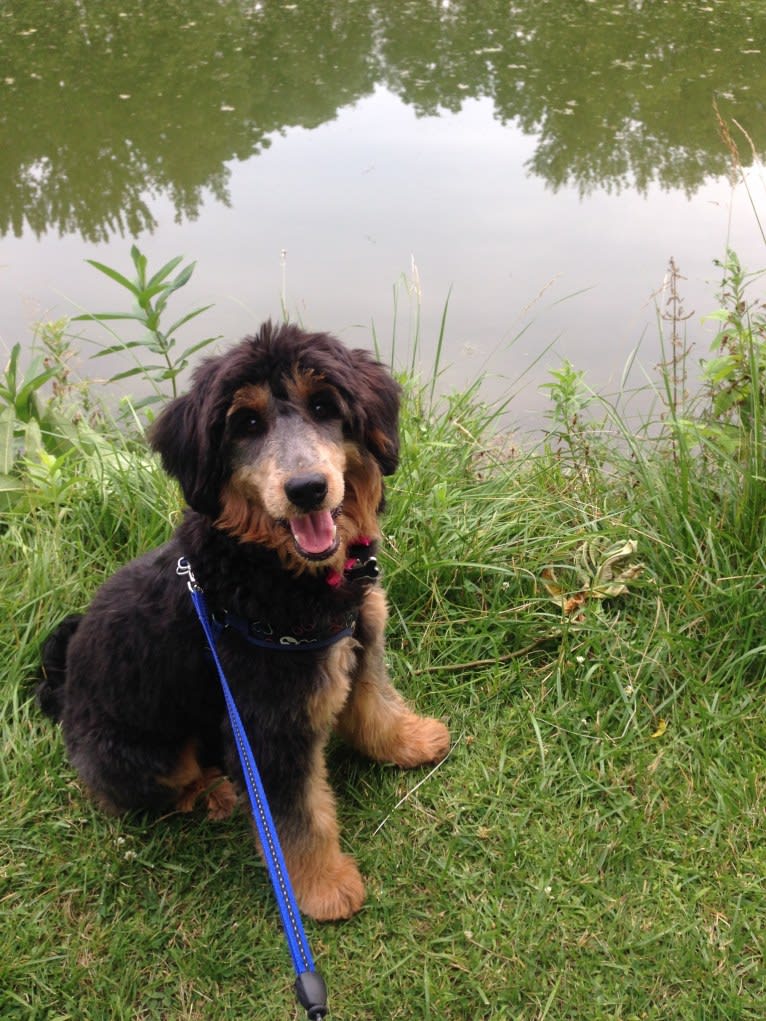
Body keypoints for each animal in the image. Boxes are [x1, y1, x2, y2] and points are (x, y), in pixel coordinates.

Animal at [37, 322, 449, 922]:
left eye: (324, 406)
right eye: (246, 423)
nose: (307, 489)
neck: (273, 570)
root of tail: (62, 692)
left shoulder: (362, 641)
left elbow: (376, 704)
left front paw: (410, 740)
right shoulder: (268, 727)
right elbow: (294, 818)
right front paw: (322, 888)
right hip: (143, 754)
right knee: (154, 791)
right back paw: (212, 793)